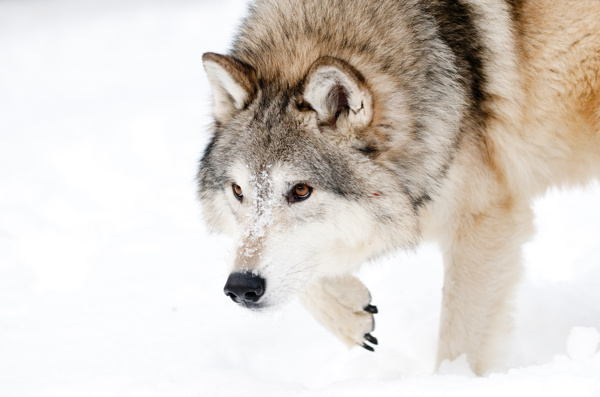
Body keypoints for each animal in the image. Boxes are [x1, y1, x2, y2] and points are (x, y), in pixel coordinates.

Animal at [199, 0, 600, 374]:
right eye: (238, 191)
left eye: (300, 191)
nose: (240, 289)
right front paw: (350, 312)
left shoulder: (484, 221)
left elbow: (459, 341)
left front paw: (451, 381)